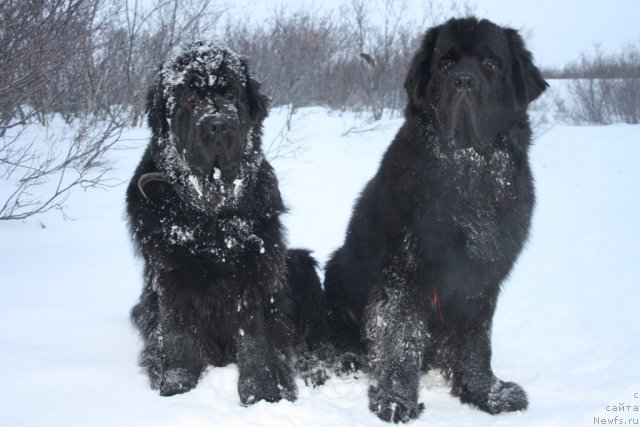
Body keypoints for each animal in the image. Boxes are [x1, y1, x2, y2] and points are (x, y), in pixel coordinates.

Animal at [126, 42, 324, 404]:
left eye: (231, 92)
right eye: (190, 96)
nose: (218, 124)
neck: (210, 212)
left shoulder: (255, 266)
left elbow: (255, 333)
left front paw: (262, 391)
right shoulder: (169, 268)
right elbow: (176, 330)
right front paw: (176, 386)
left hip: (298, 264)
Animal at [324, 18, 552, 422]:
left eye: (490, 64)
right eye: (445, 63)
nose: (463, 81)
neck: (469, 171)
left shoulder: (481, 276)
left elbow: (477, 342)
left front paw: (487, 394)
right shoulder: (405, 270)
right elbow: (401, 339)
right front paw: (395, 401)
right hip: (336, 272)